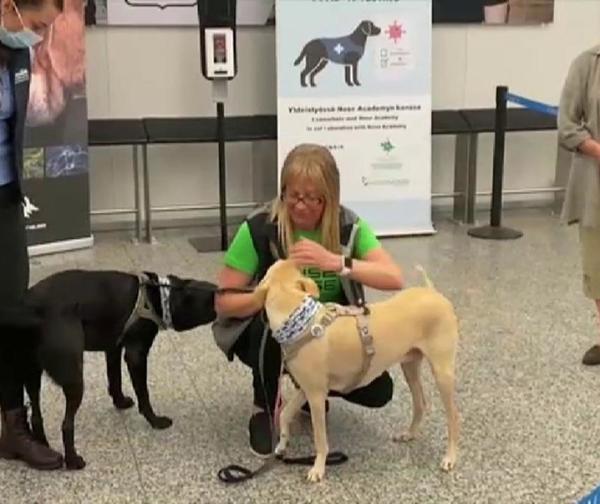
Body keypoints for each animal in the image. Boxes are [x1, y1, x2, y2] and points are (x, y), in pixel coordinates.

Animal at [8, 270, 217, 470]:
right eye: (213, 297)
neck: (157, 296)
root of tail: (29, 307)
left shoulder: (113, 349)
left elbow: (114, 378)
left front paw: (120, 402)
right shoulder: (136, 355)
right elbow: (144, 395)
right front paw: (155, 421)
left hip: (31, 373)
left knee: (36, 415)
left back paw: (44, 447)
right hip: (73, 378)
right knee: (66, 425)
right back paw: (73, 460)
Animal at [255, 258, 462, 482]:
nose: (291, 257)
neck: (300, 322)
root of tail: (433, 292)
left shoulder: (317, 395)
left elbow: (320, 439)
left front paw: (318, 468)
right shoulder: (305, 389)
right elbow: (284, 414)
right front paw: (282, 445)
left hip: (442, 371)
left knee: (453, 416)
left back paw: (450, 457)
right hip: (410, 366)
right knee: (420, 404)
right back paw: (410, 433)